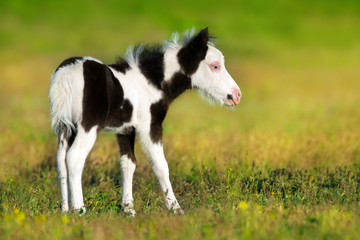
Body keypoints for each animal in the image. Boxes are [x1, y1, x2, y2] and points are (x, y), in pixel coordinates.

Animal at [48, 28, 242, 216]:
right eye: (215, 66)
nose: (236, 95)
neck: (153, 83)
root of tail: (65, 76)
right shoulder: (150, 125)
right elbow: (160, 165)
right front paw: (175, 208)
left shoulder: (125, 130)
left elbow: (128, 164)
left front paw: (129, 209)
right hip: (87, 126)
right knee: (74, 157)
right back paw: (80, 210)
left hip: (66, 128)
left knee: (61, 160)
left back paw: (65, 210)